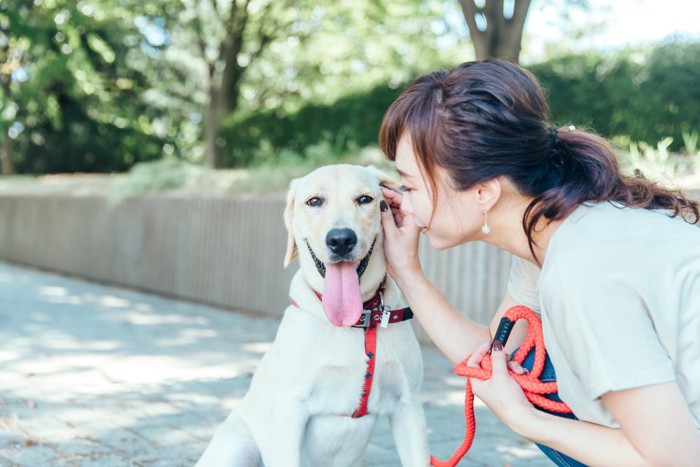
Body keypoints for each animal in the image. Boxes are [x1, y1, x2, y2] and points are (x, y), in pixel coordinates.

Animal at [194, 165, 430, 467]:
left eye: (365, 199)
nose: (341, 239)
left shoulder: (408, 405)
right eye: (314, 201)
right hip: (236, 449)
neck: (355, 322)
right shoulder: (290, 410)